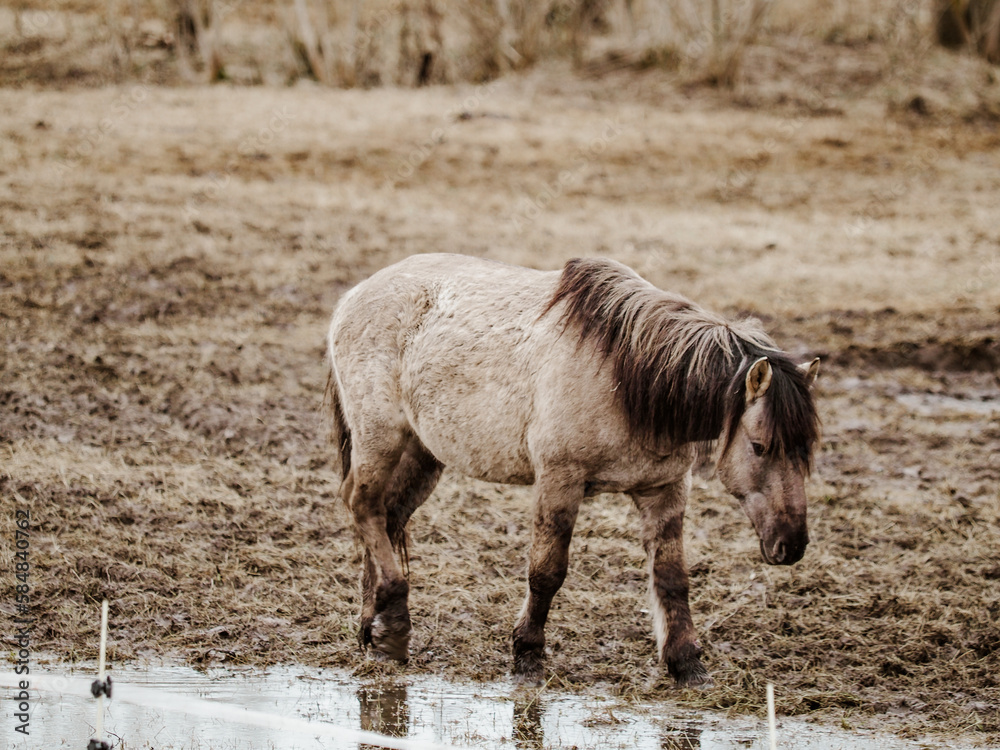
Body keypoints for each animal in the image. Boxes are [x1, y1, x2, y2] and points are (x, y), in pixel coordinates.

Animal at [325, 253, 820, 686]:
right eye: (759, 447)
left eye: (807, 449)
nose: (791, 545)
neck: (626, 377)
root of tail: (354, 296)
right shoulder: (560, 479)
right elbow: (546, 572)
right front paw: (527, 656)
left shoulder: (664, 488)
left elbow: (672, 577)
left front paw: (686, 665)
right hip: (380, 438)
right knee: (362, 504)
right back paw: (395, 624)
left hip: (423, 454)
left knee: (387, 517)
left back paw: (375, 629)